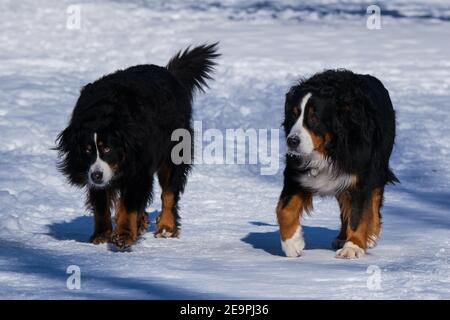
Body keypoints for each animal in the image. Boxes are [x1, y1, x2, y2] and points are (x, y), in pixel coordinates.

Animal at [57, 44, 219, 250]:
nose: (97, 175)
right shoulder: (91, 169)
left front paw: (124, 235)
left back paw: (166, 227)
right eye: (87, 150)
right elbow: (101, 203)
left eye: (107, 149)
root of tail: (170, 74)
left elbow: (130, 202)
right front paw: (101, 235)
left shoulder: (138, 164)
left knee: (169, 191)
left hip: (174, 148)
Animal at [278, 69, 398, 258]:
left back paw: (370, 235)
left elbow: (359, 213)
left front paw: (353, 246)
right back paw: (342, 237)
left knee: (374, 199)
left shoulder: (361, 174)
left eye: (314, 117)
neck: (329, 149)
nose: (292, 141)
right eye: (294, 114)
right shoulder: (296, 172)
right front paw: (292, 243)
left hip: (378, 166)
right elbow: (283, 210)